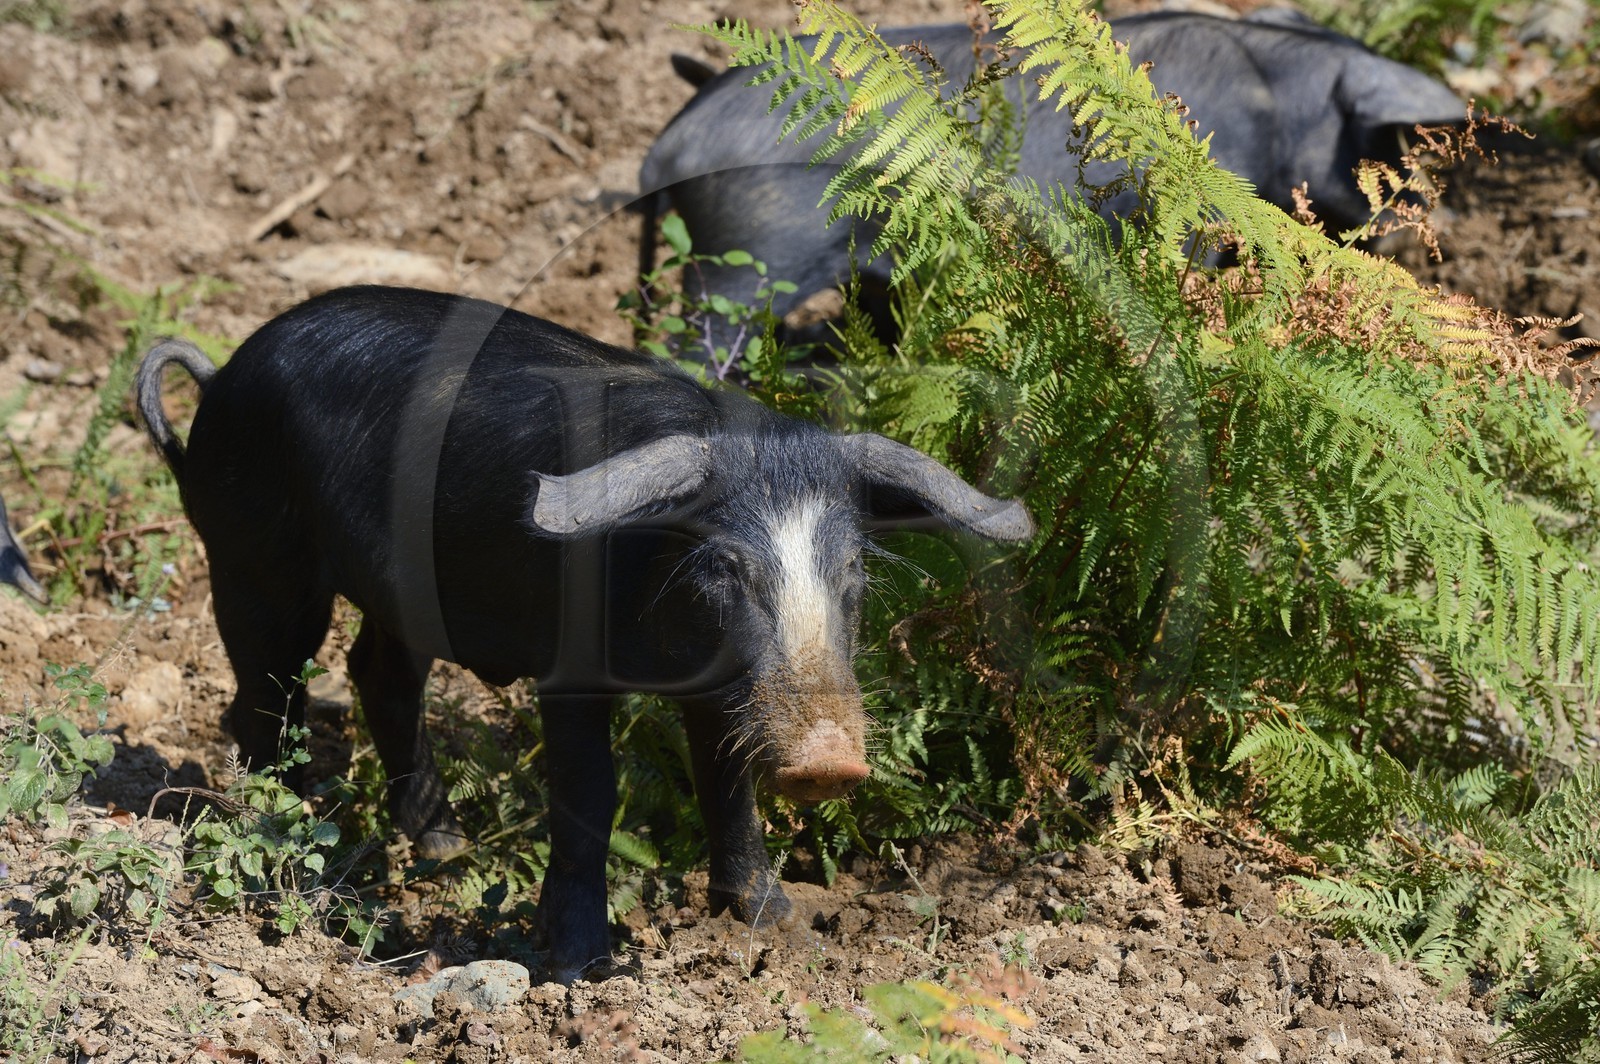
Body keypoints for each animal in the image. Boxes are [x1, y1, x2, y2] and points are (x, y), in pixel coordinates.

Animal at [135, 286, 1033, 981]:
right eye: (722, 566)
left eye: (851, 568)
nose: (829, 759)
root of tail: (220, 377)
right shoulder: (566, 667)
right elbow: (589, 794)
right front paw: (578, 967)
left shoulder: (714, 689)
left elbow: (727, 787)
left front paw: (775, 923)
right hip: (250, 555)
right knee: (261, 697)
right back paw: (287, 847)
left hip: (400, 595)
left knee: (378, 674)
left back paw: (446, 850)